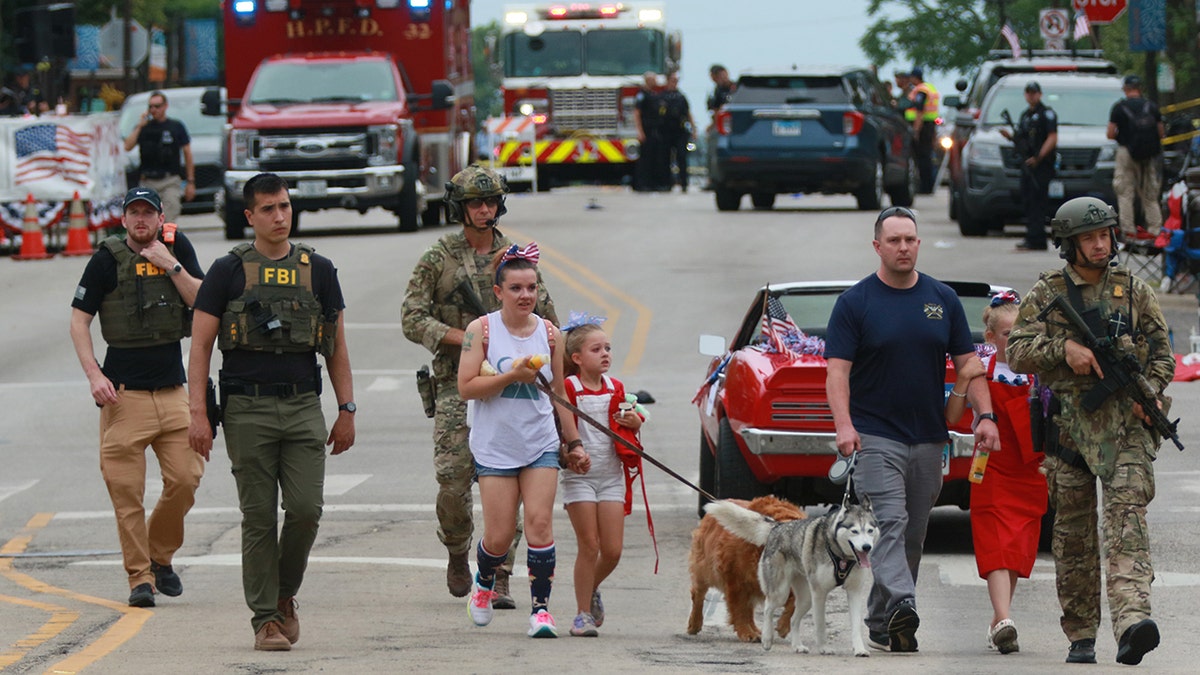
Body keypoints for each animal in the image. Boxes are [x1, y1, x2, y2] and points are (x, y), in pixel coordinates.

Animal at [700, 497, 883, 653]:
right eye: (854, 531)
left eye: (869, 530)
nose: (866, 547)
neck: (841, 555)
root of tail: (777, 526)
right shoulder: (819, 593)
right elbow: (820, 625)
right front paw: (823, 647)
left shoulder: (854, 592)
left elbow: (856, 626)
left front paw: (860, 649)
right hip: (781, 592)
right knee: (768, 608)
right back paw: (767, 639)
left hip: (806, 598)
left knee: (794, 619)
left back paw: (797, 646)